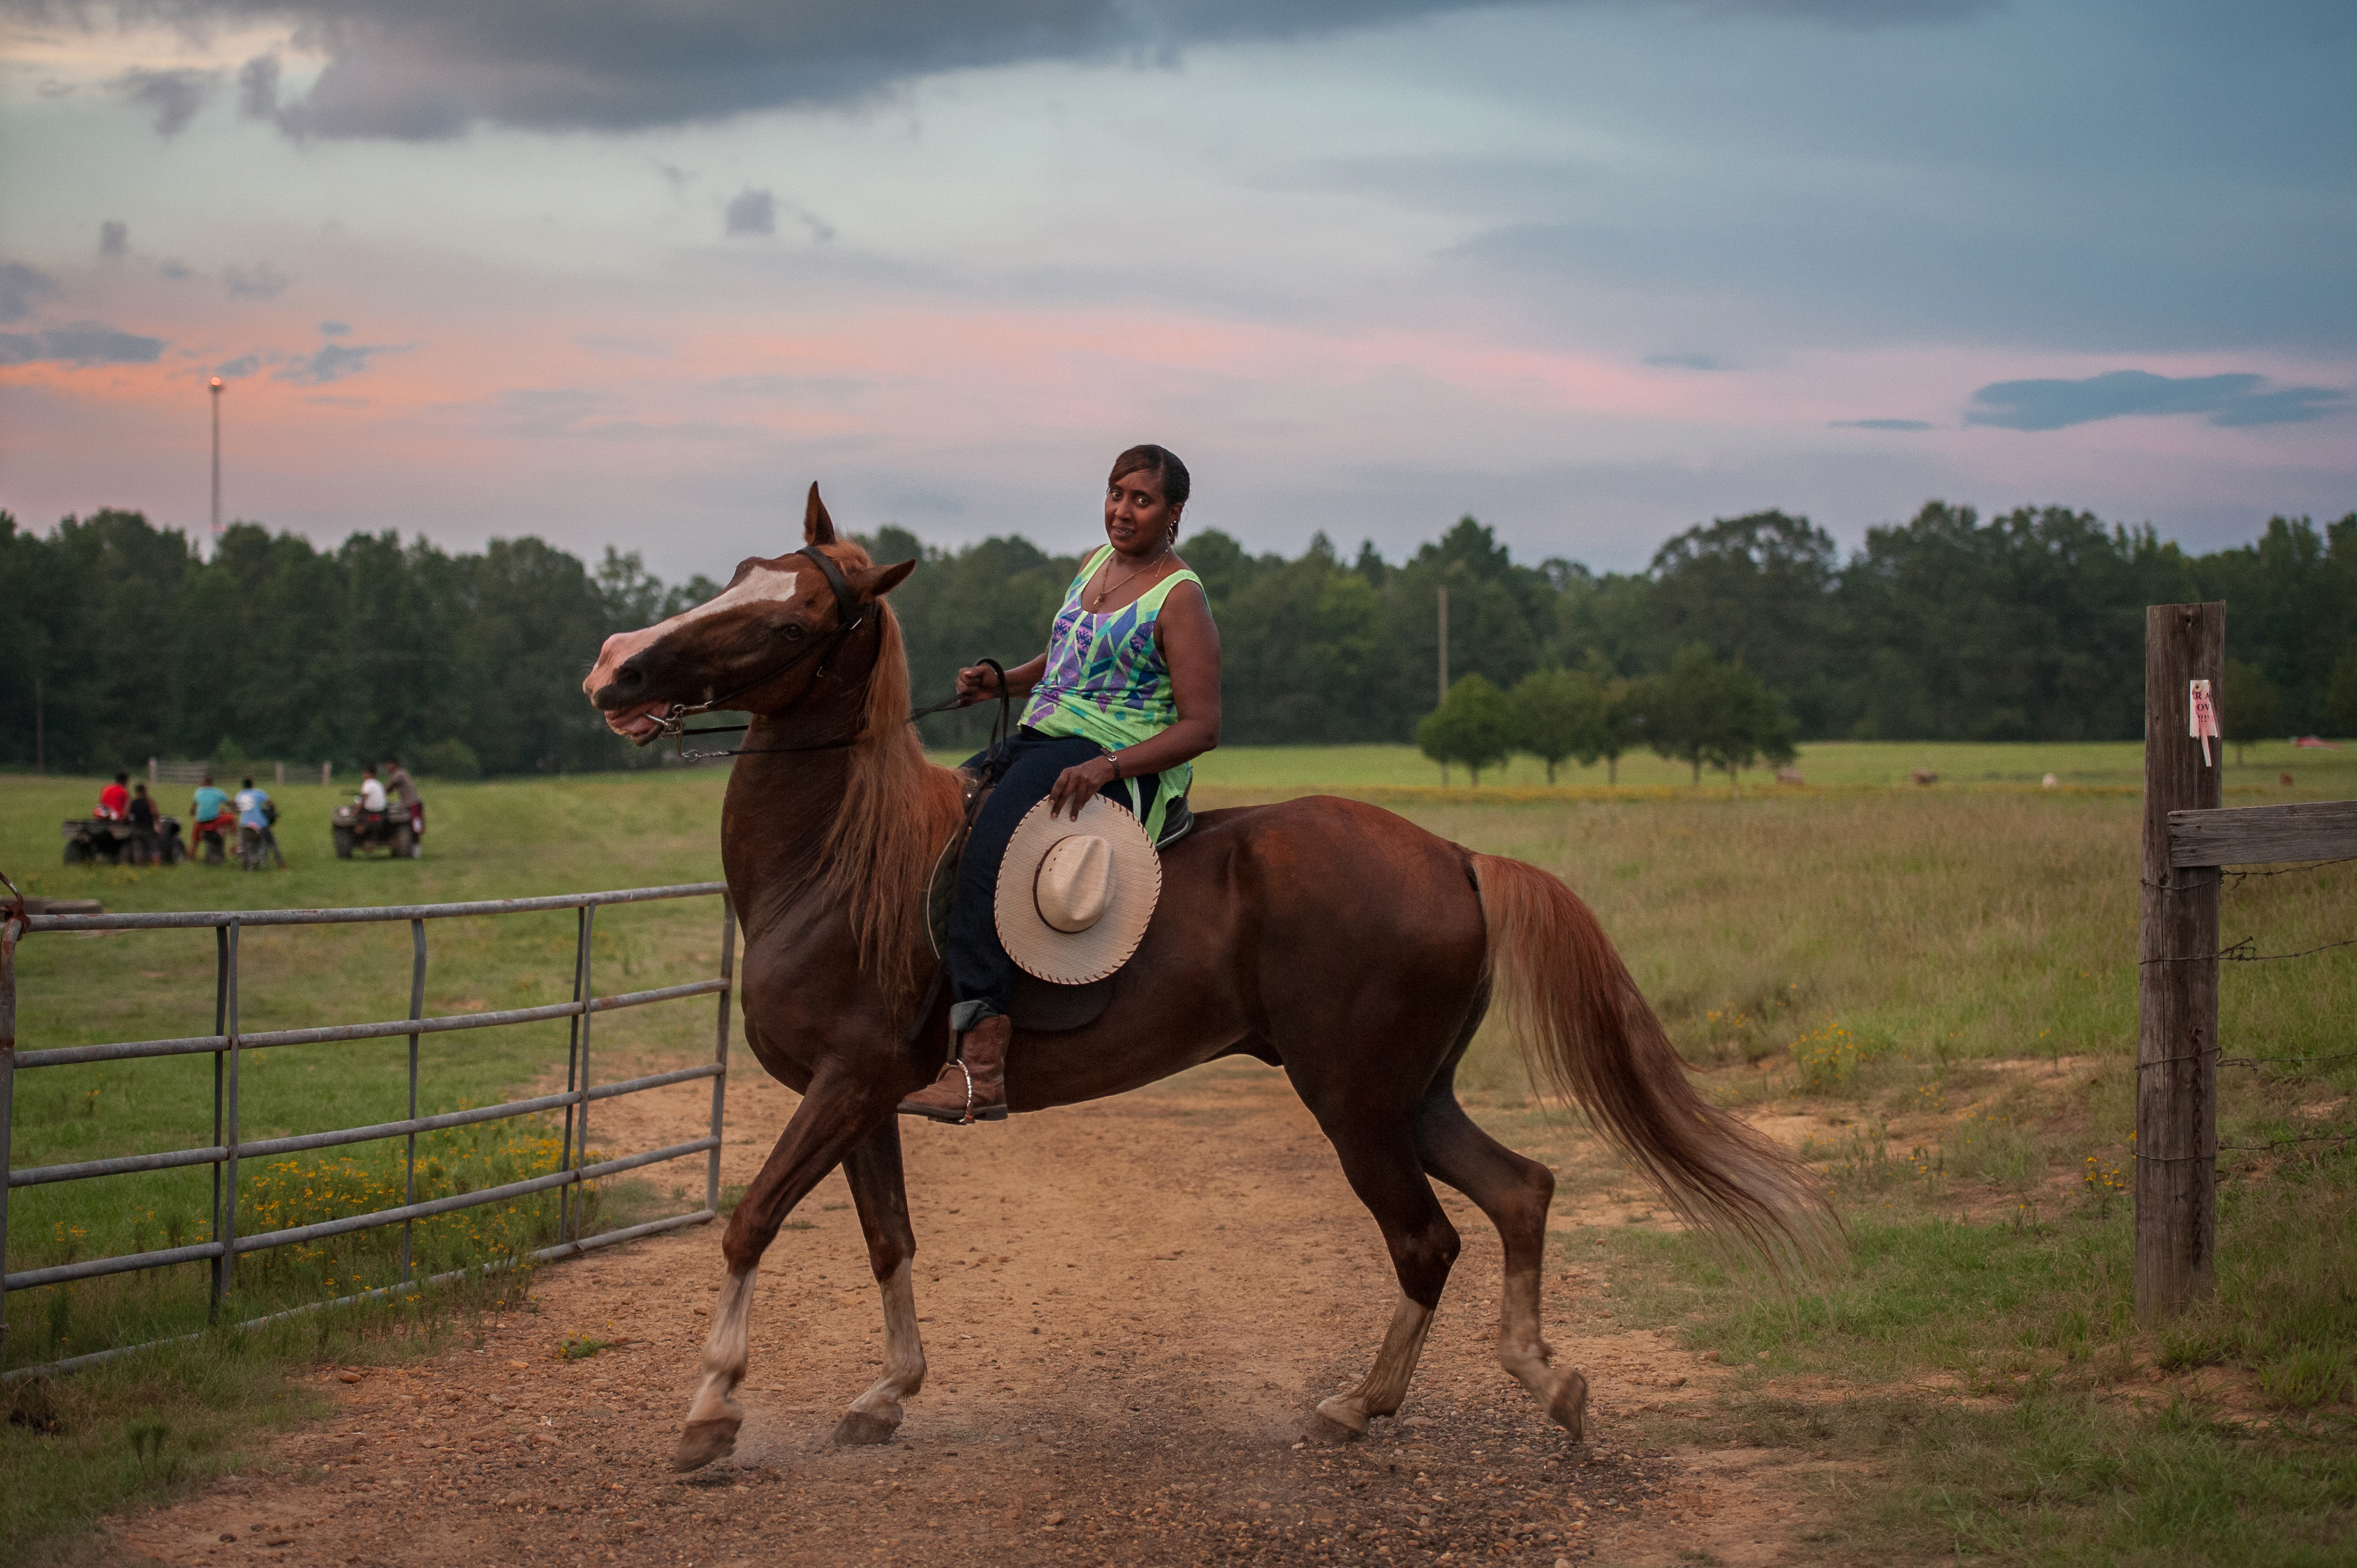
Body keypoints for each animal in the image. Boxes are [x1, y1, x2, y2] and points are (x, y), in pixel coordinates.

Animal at [580, 485, 1829, 1471]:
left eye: (790, 614)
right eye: (738, 574)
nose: (612, 666)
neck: (838, 863)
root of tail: (1457, 856)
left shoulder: (842, 1084)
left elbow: (749, 1224)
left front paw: (709, 1414)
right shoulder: (865, 1098)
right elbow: (889, 1240)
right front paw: (884, 1395)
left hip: (1353, 1099)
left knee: (1427, 1240)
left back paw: (1355, 1406)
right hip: (1408, 1093)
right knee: (1520, 1190)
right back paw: (1540, 1381)